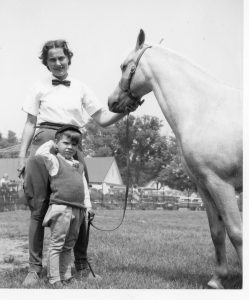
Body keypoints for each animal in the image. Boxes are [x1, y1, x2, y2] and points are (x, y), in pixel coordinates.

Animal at [108, 29, 242, 288]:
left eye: (124, 66)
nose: (112, 102)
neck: (206, 110)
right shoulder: (204, 185)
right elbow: (217, 231)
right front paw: (217, 278)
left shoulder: (222, 184)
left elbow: (236, 232)